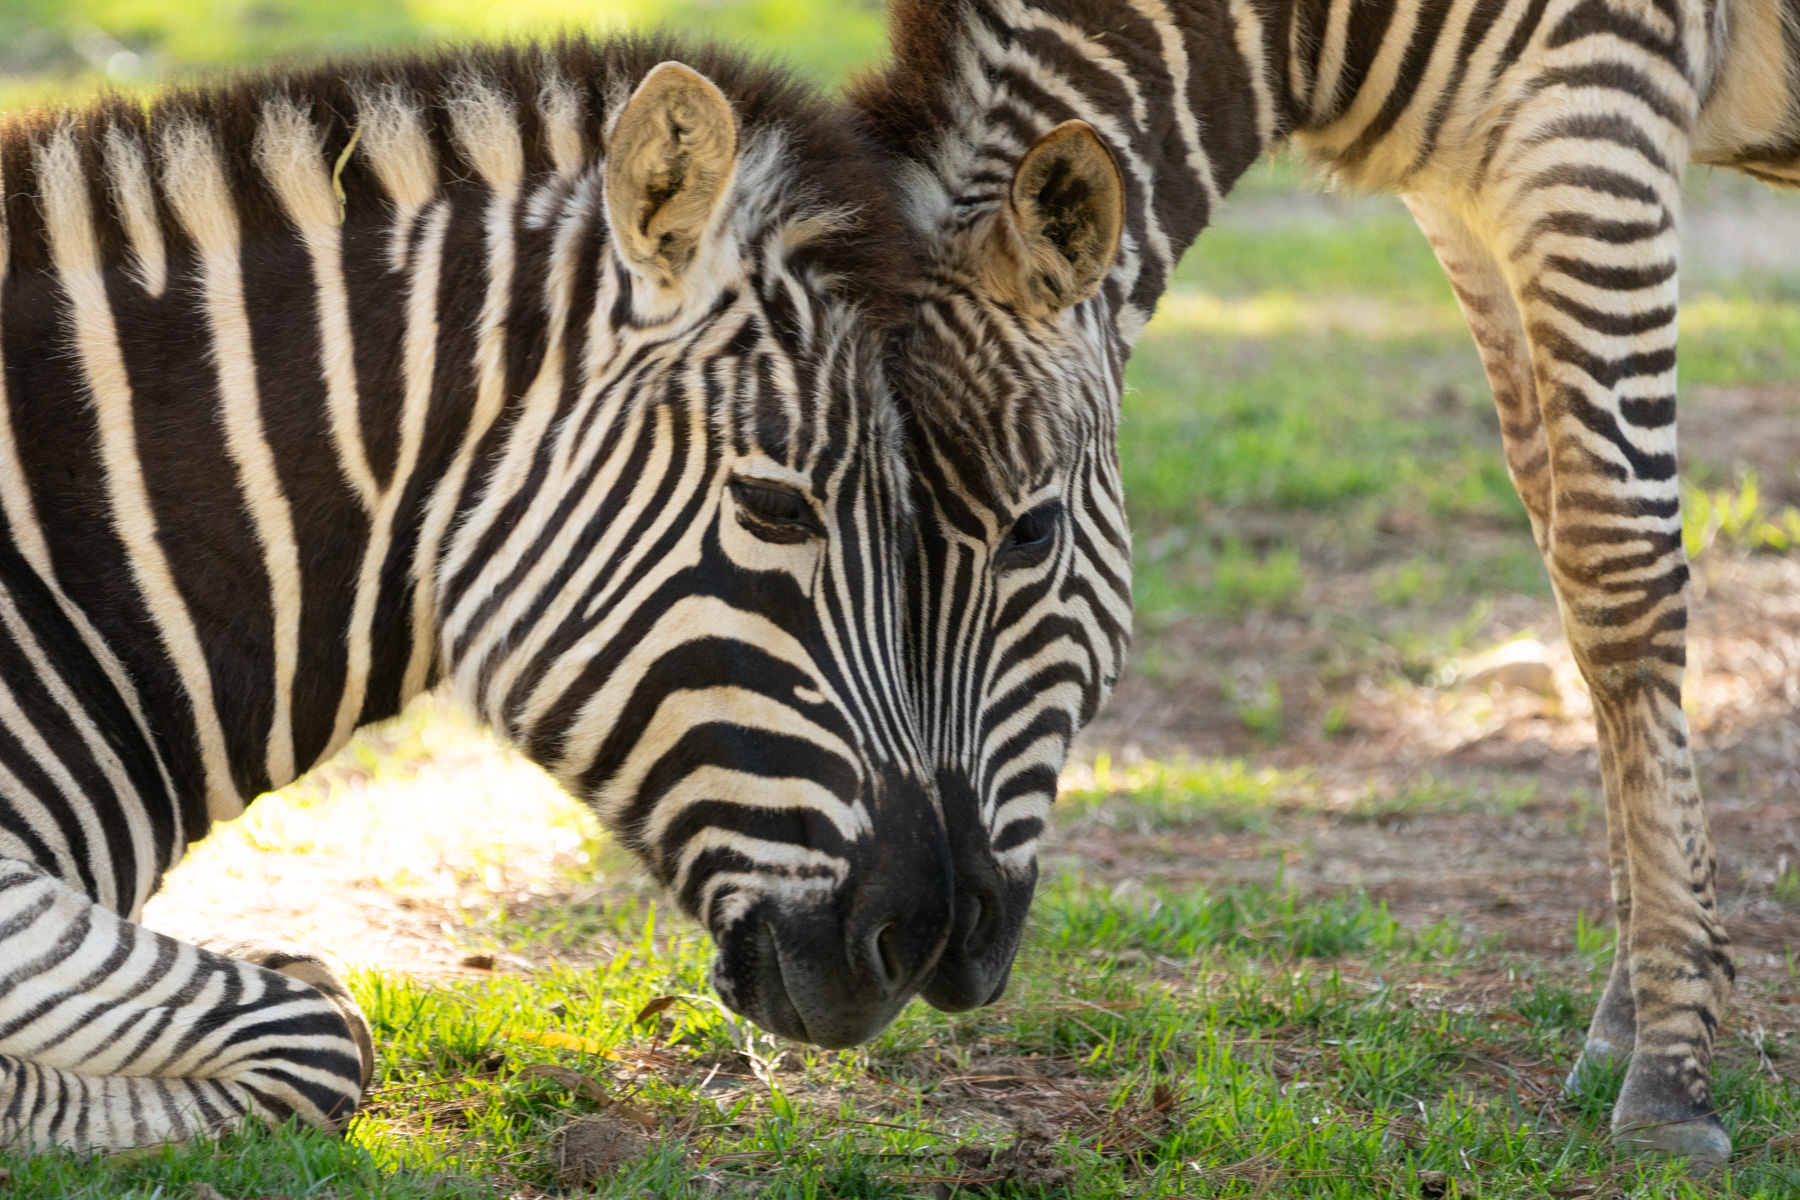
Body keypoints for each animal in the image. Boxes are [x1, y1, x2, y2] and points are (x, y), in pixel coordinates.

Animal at [852, 0, 1793, 1167]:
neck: (1312, 36)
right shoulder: (1471, 184)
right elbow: (1562, 545)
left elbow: (1618, 570)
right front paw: (1630, 1016)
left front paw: (1670, 1070)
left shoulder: (1596, 113)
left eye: (1032, 533)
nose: (944, 947)